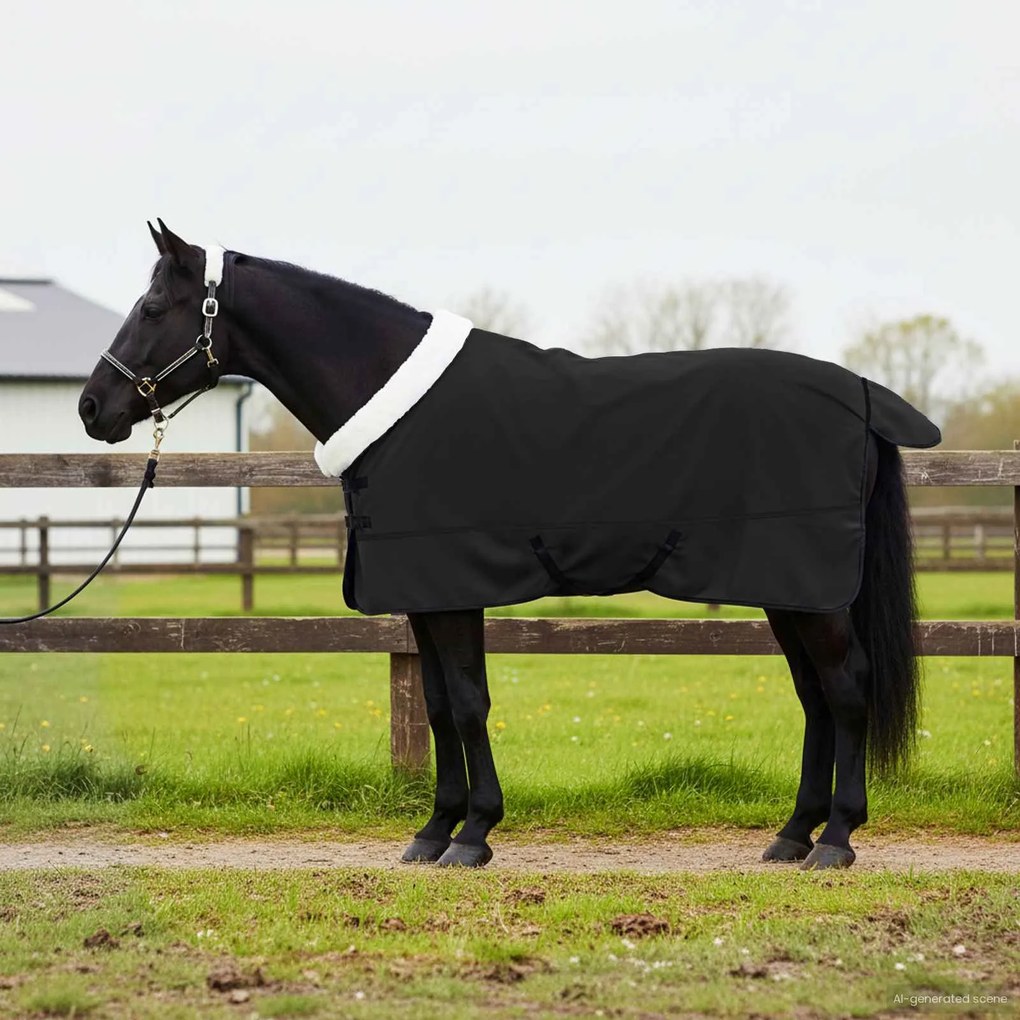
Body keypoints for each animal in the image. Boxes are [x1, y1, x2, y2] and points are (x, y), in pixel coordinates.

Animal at [78, 220, 939, 870]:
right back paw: (792, 835)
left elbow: (466, 704)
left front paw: (474, 835)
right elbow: (435, 707)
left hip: (812, 591)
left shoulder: (453, 590)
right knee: (816, 697)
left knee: (847, 689)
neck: (393, 402)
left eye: (153, 306)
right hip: (787, 590)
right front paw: (434, 832)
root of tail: (862, 395)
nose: (92, 406)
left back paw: (836, 839)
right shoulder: (422, 597)